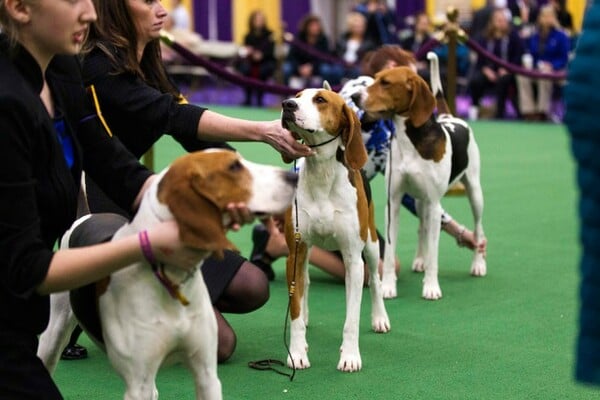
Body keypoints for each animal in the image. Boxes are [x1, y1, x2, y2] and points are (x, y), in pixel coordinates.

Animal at [38, 150, 298, 400]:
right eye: (233, 167)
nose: (292, 177)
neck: (173, 278)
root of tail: (85, 217)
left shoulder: (207, 374)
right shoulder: (138, 384)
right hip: (53, 336)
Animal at [280, 86, 390, 372]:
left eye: (320, 100)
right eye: (297, 95)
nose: (287, 104)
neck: (322, 172)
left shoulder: (353, 259)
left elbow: (351, 318)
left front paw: (350, 356)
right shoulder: (295, 252)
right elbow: (294, 312)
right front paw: (297, 353)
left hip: (371, 244)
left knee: (375, 280)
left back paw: (380, 317)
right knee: (305, 281)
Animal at [358, 55, 486, 300]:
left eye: (385, 83)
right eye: (375, 78)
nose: (354, 97)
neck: (411, 140)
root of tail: (449, 116)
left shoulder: (435, 204)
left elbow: (434, 251)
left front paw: (431, 287)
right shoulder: (393, 202)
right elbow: (390, 252)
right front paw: (388, 286)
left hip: (473, 193)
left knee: (478, 229)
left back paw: (478, 264)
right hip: (419, 200)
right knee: (422, 229)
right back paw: (420, 260)